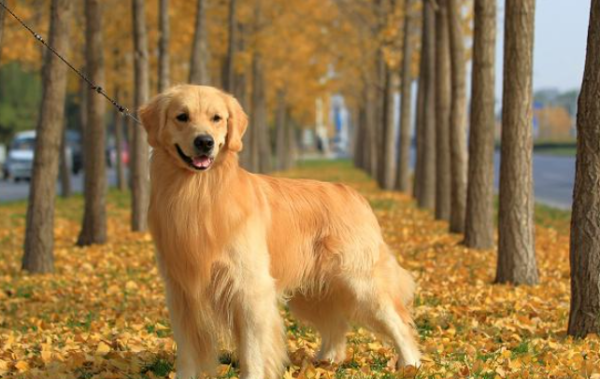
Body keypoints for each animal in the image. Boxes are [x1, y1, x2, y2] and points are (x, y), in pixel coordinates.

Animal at [141, 84, 422, 378]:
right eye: (182, 117)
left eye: (216, 118)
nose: (204, 142)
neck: (200, 193)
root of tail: (353, 193)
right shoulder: (181, 292)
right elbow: (187, 352)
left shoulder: (250, 289)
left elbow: (252, 351)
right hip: (313, 293)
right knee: (336, 325)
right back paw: (327, 361)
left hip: (361, 282)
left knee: (397, 321)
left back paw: (410, 364)